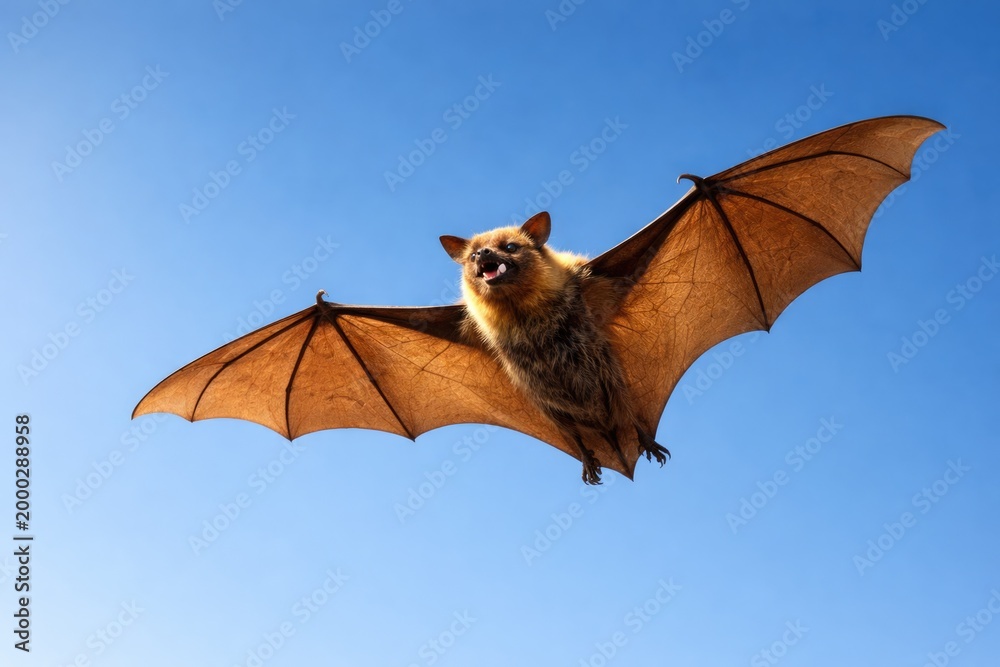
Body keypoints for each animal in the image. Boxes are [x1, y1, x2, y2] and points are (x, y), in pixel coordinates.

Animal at [440, 211, 669, 484]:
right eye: (473, 255)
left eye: (511, 247)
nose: (484, 253)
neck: (519, 313)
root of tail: (606, 431)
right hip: (551, 410)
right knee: (574, 434)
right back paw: (588, 464)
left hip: (612, 381)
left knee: (627, 412)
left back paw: (650, 445)